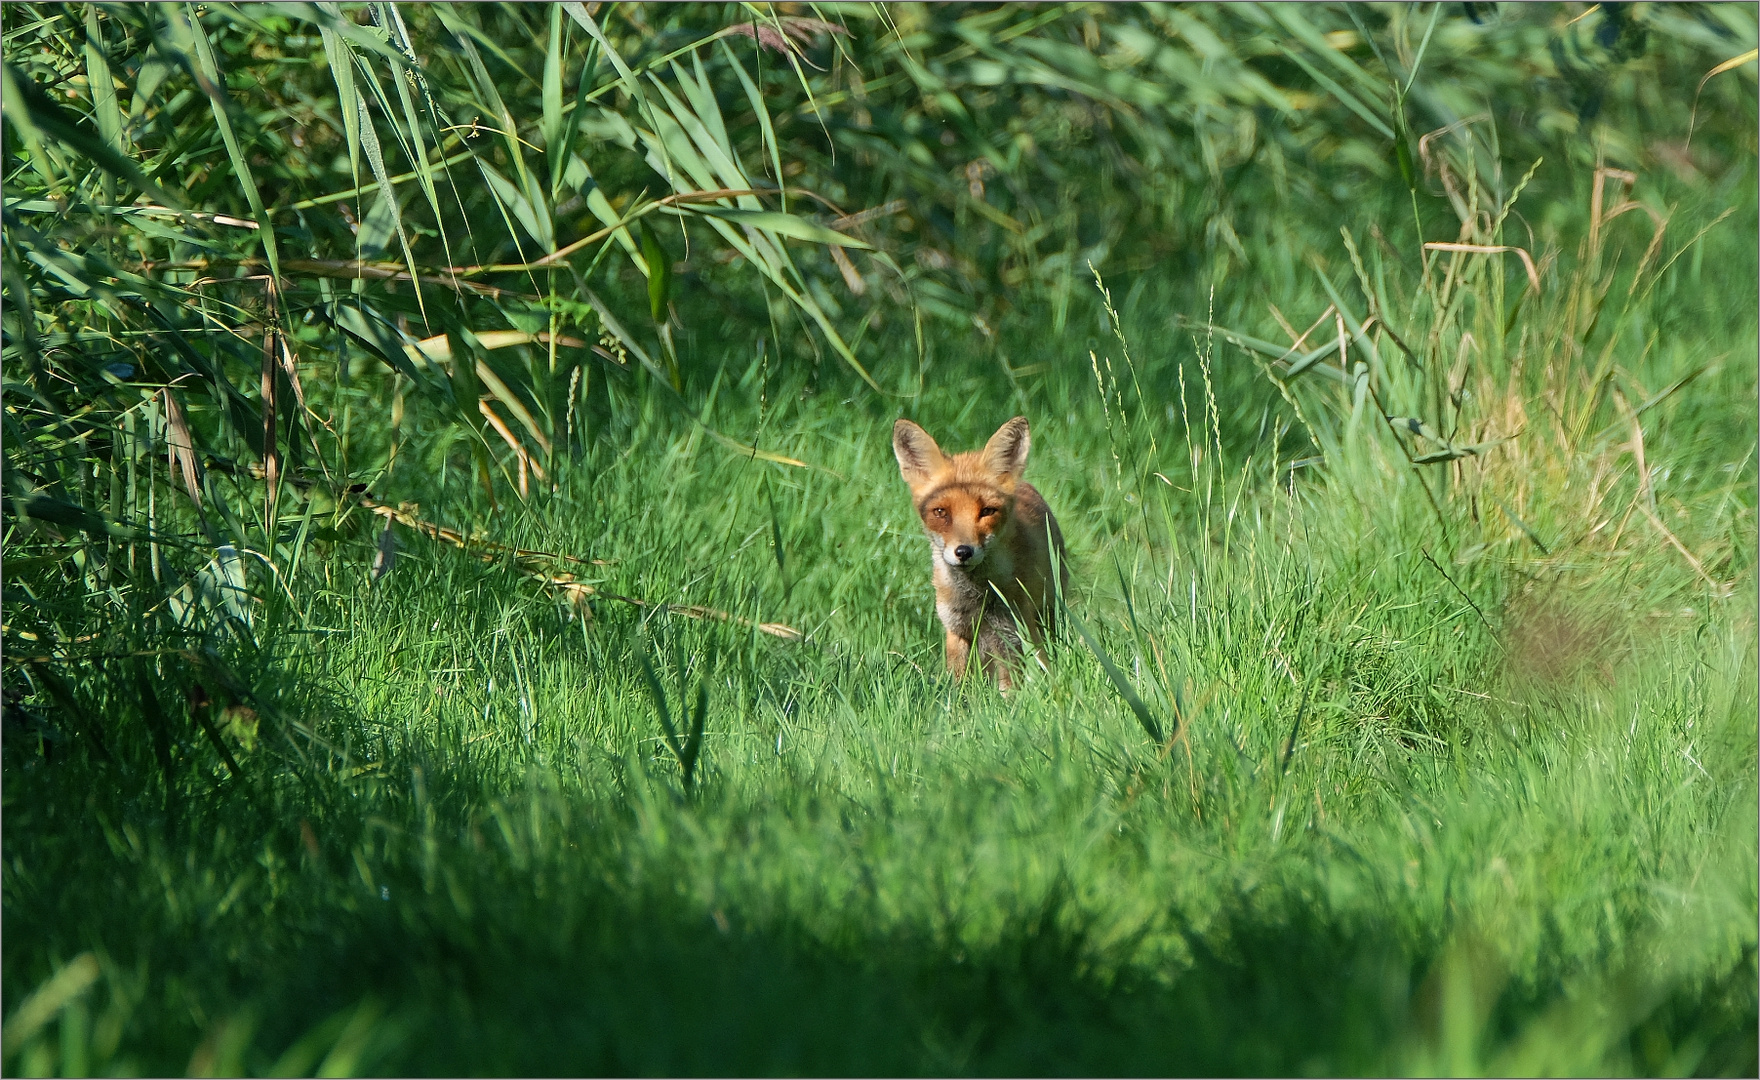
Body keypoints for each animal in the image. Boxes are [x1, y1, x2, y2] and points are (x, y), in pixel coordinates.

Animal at [887, 416, 1063, 693]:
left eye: (987, 511)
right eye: (941, 512)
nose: (963, 552)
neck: (978, 598)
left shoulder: (1012, 632)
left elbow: (1011, 688)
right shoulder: (957, 631)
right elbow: (959, 688)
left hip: (1047, 613)